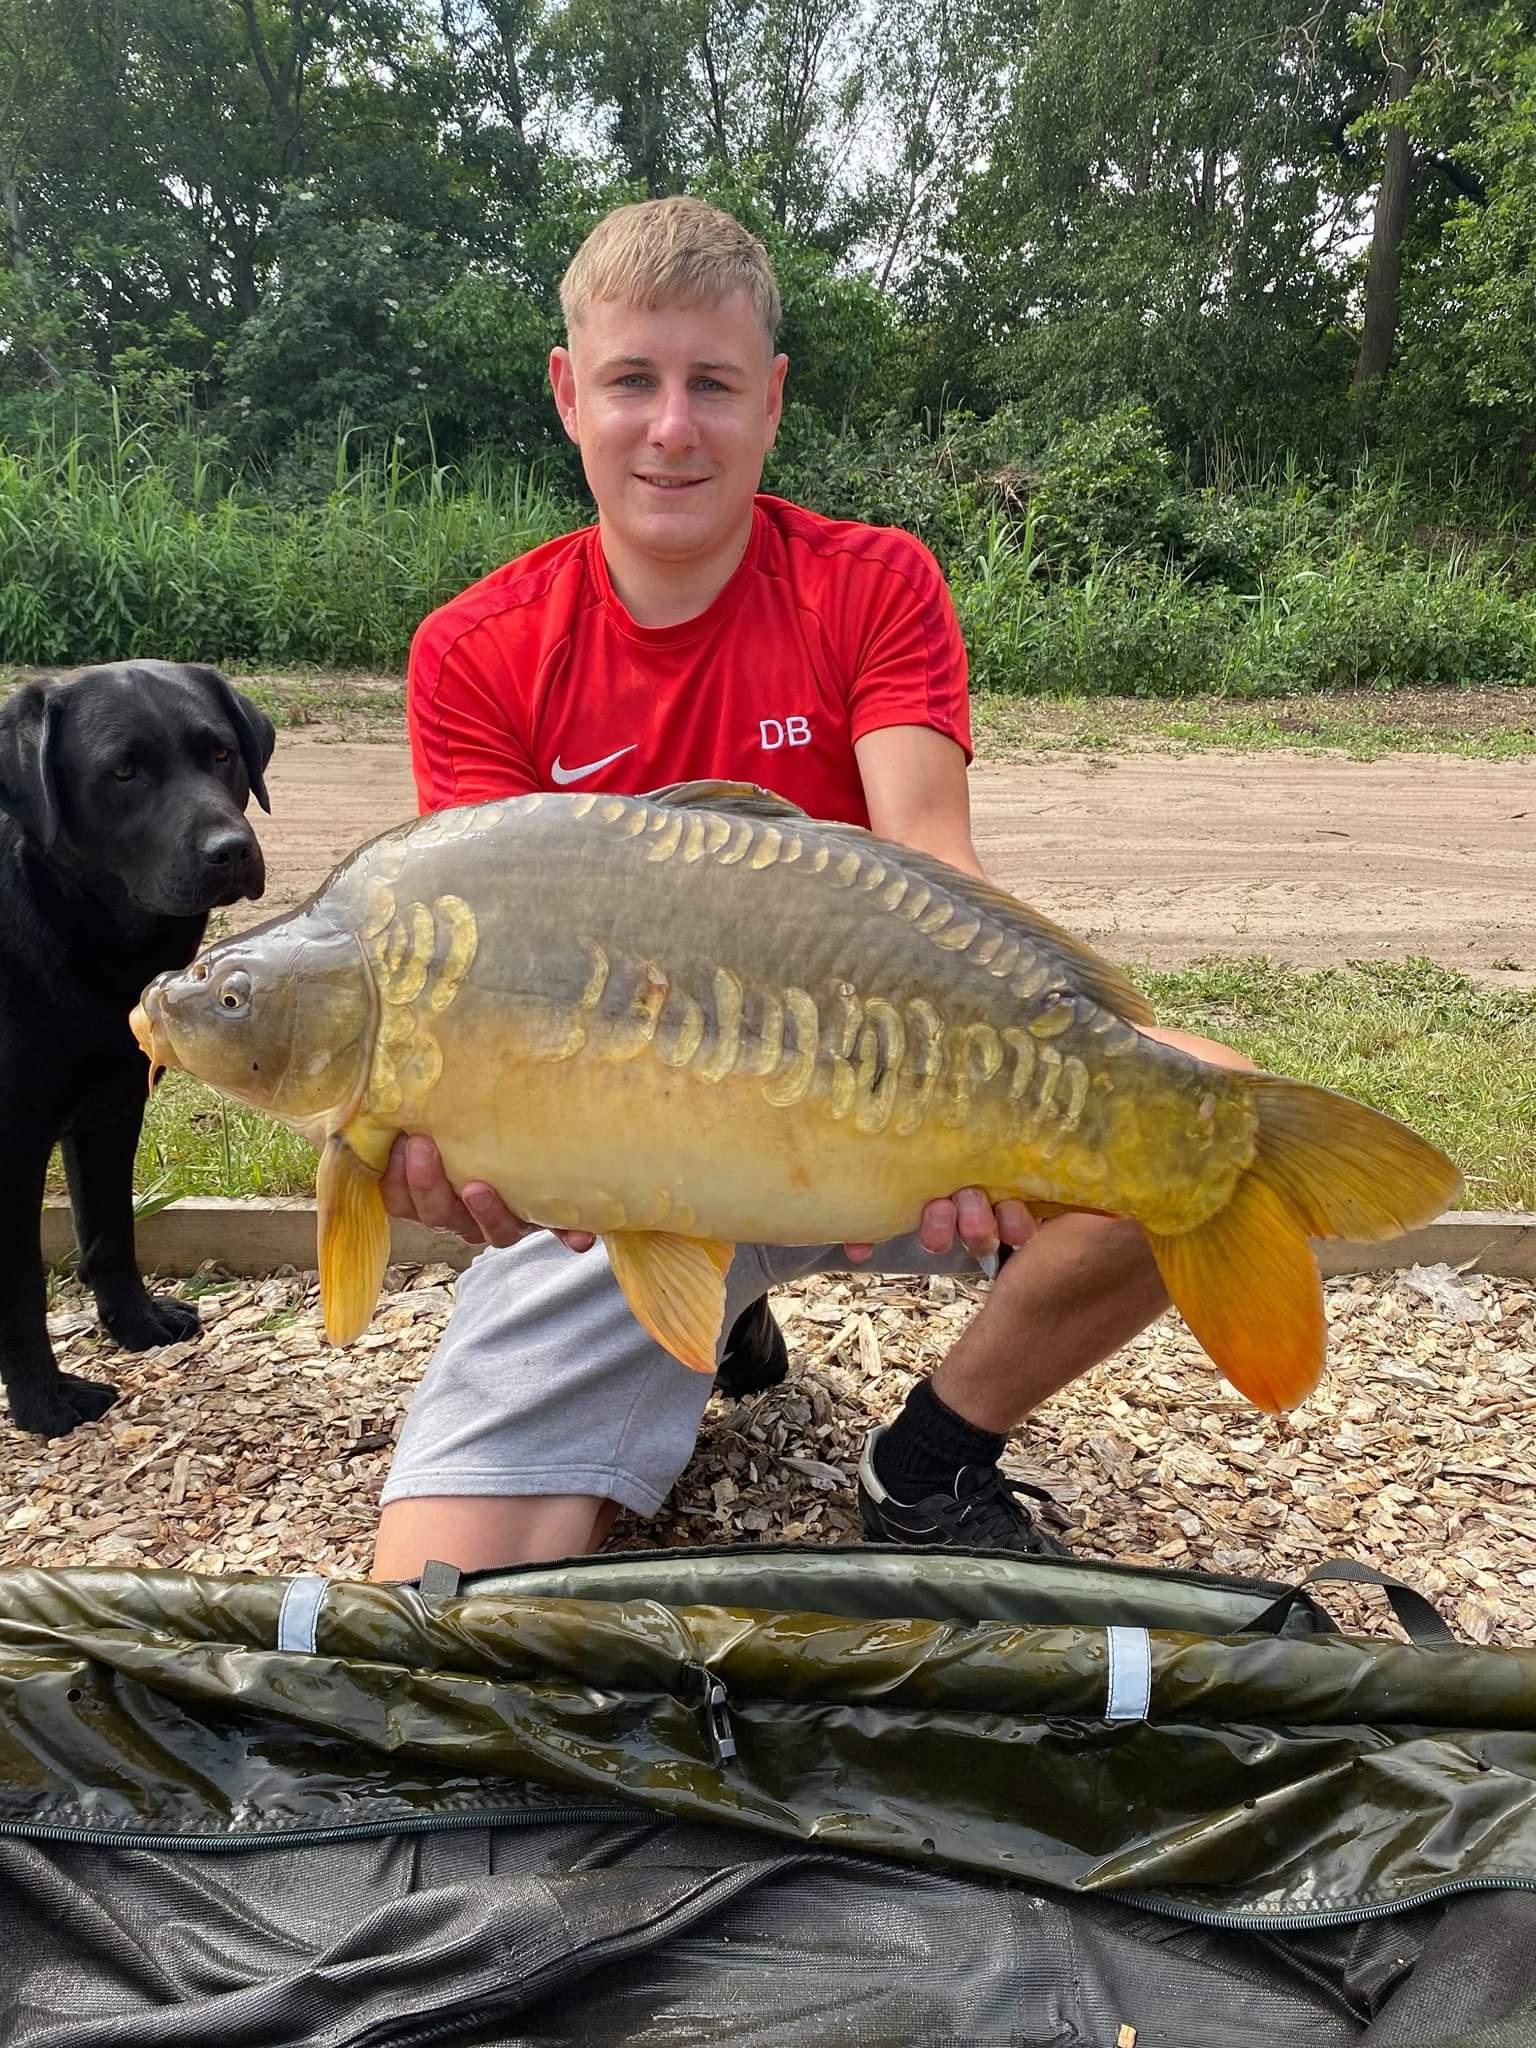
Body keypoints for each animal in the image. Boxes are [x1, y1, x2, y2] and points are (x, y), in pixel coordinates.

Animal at [0, 661, 275, 1437]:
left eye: (220, 753)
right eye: (123, 770)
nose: (232, 849)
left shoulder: (112, 1111)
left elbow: (110, 1230)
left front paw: (135, 1323)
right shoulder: (12, 1147)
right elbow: (19, 1289)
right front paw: (43, 1401)